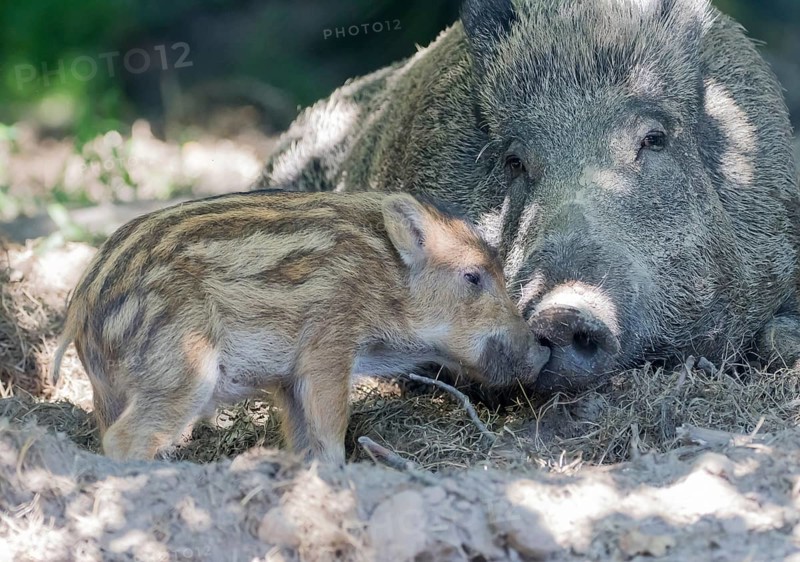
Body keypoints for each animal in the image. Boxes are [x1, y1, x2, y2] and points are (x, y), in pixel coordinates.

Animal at [51, 190, 548, 463]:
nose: (543, 349)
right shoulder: (327, 347)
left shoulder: (285, 379)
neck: (383, 282)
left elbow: (303, 437)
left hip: (114, 389)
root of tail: (84, 299)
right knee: (123, 440)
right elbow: (330, 427)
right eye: (473, 277)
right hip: (182, 368)